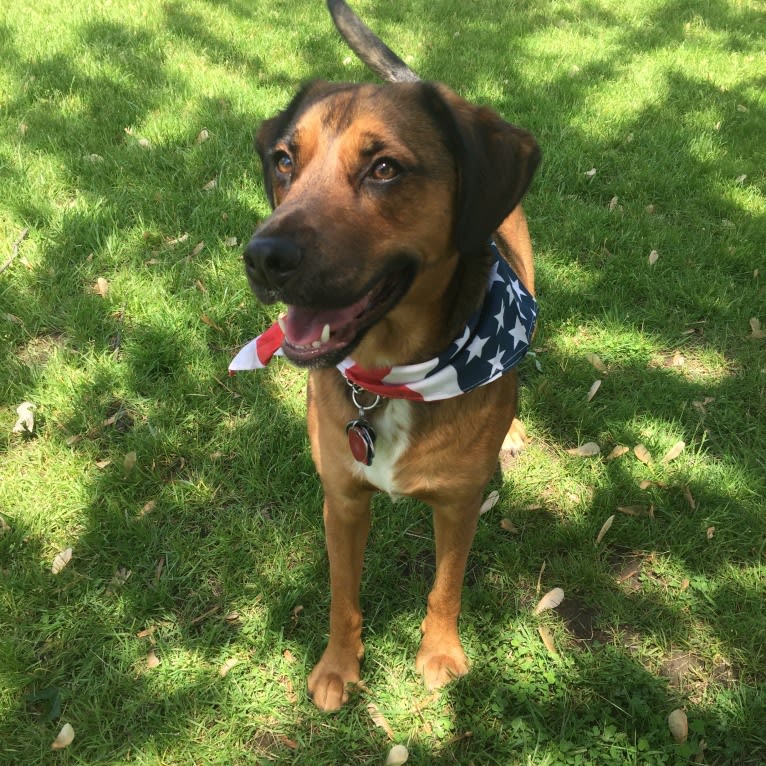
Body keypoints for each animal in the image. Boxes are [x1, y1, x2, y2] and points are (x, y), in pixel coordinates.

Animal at [231, 0, 544, 712]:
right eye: (284, 160)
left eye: (385, 169)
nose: (263, 257)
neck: (392, 377)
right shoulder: (343, 500)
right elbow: (342, 597)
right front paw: (338, 666)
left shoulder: (458, 504)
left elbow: (445, 588)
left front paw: (440, 655)